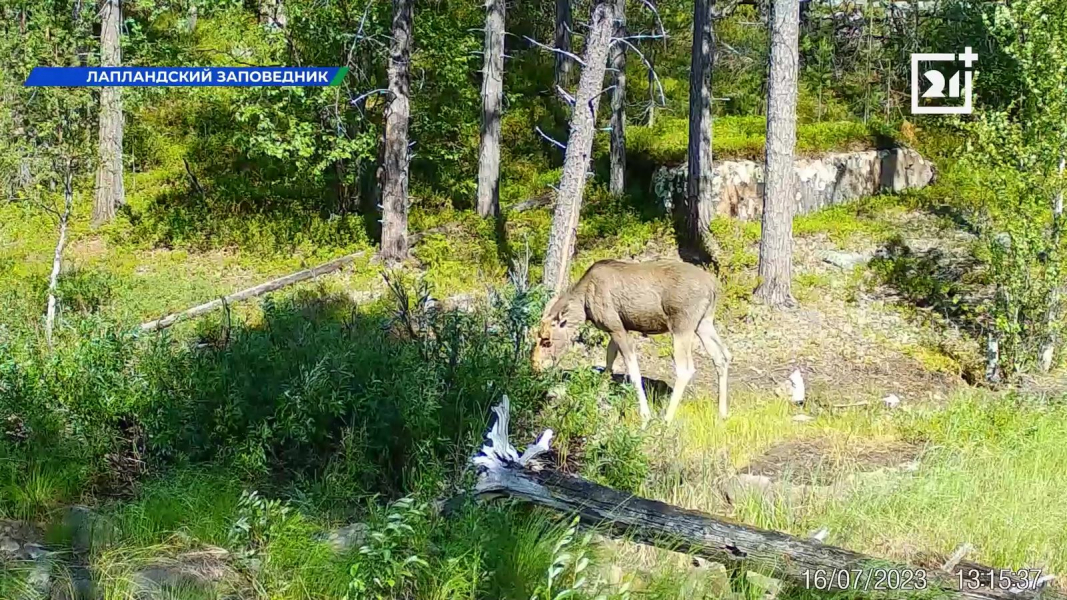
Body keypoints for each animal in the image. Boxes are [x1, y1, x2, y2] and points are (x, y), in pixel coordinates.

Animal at [532, 259, 731, 425]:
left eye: (547, 341)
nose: (536, 366)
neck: (584, 307)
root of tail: (714, 287)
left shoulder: (617, 328)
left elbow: (633, 372)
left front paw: (645, 414)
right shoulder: (616, 328)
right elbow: (609, 364)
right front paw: (599, 394)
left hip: (682, 325)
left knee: (686, 368)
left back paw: (667, 418)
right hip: (704, 322)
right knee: (723, 356)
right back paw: (722, 413)